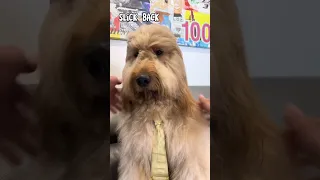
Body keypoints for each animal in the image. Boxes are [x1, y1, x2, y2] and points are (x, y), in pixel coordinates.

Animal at [117, 23, 210, 180]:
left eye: (159, 52)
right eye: (136, 54)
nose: (142, 79)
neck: (156, 110)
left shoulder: (189, 161)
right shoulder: (137, 158)